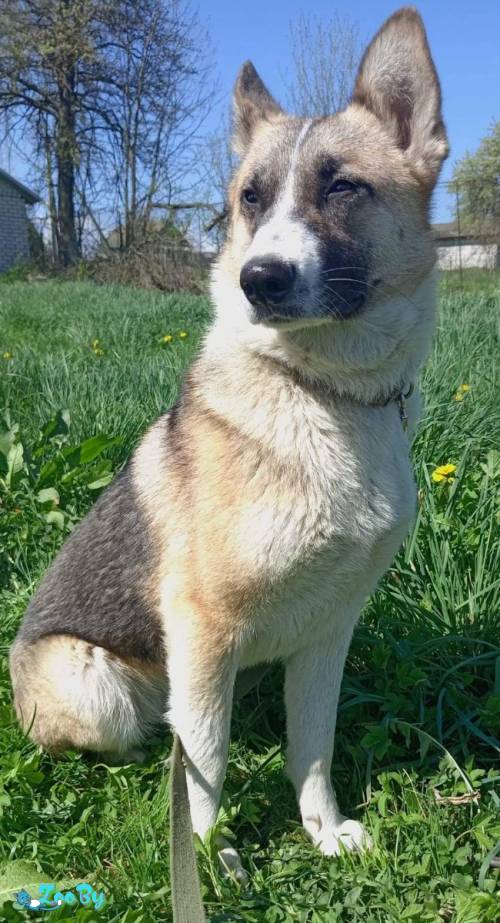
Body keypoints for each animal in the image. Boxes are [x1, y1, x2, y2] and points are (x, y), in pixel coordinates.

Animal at [8, 3, 446, 864]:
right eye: (250, 198)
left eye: (341, 184)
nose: (259, 280)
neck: (324, 397)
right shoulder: (204, 629)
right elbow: (205, 763)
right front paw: (211, 857)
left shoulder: (328, 632)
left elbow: (313, 746)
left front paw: (322, 830)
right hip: (96, 680)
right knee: (145, 735)